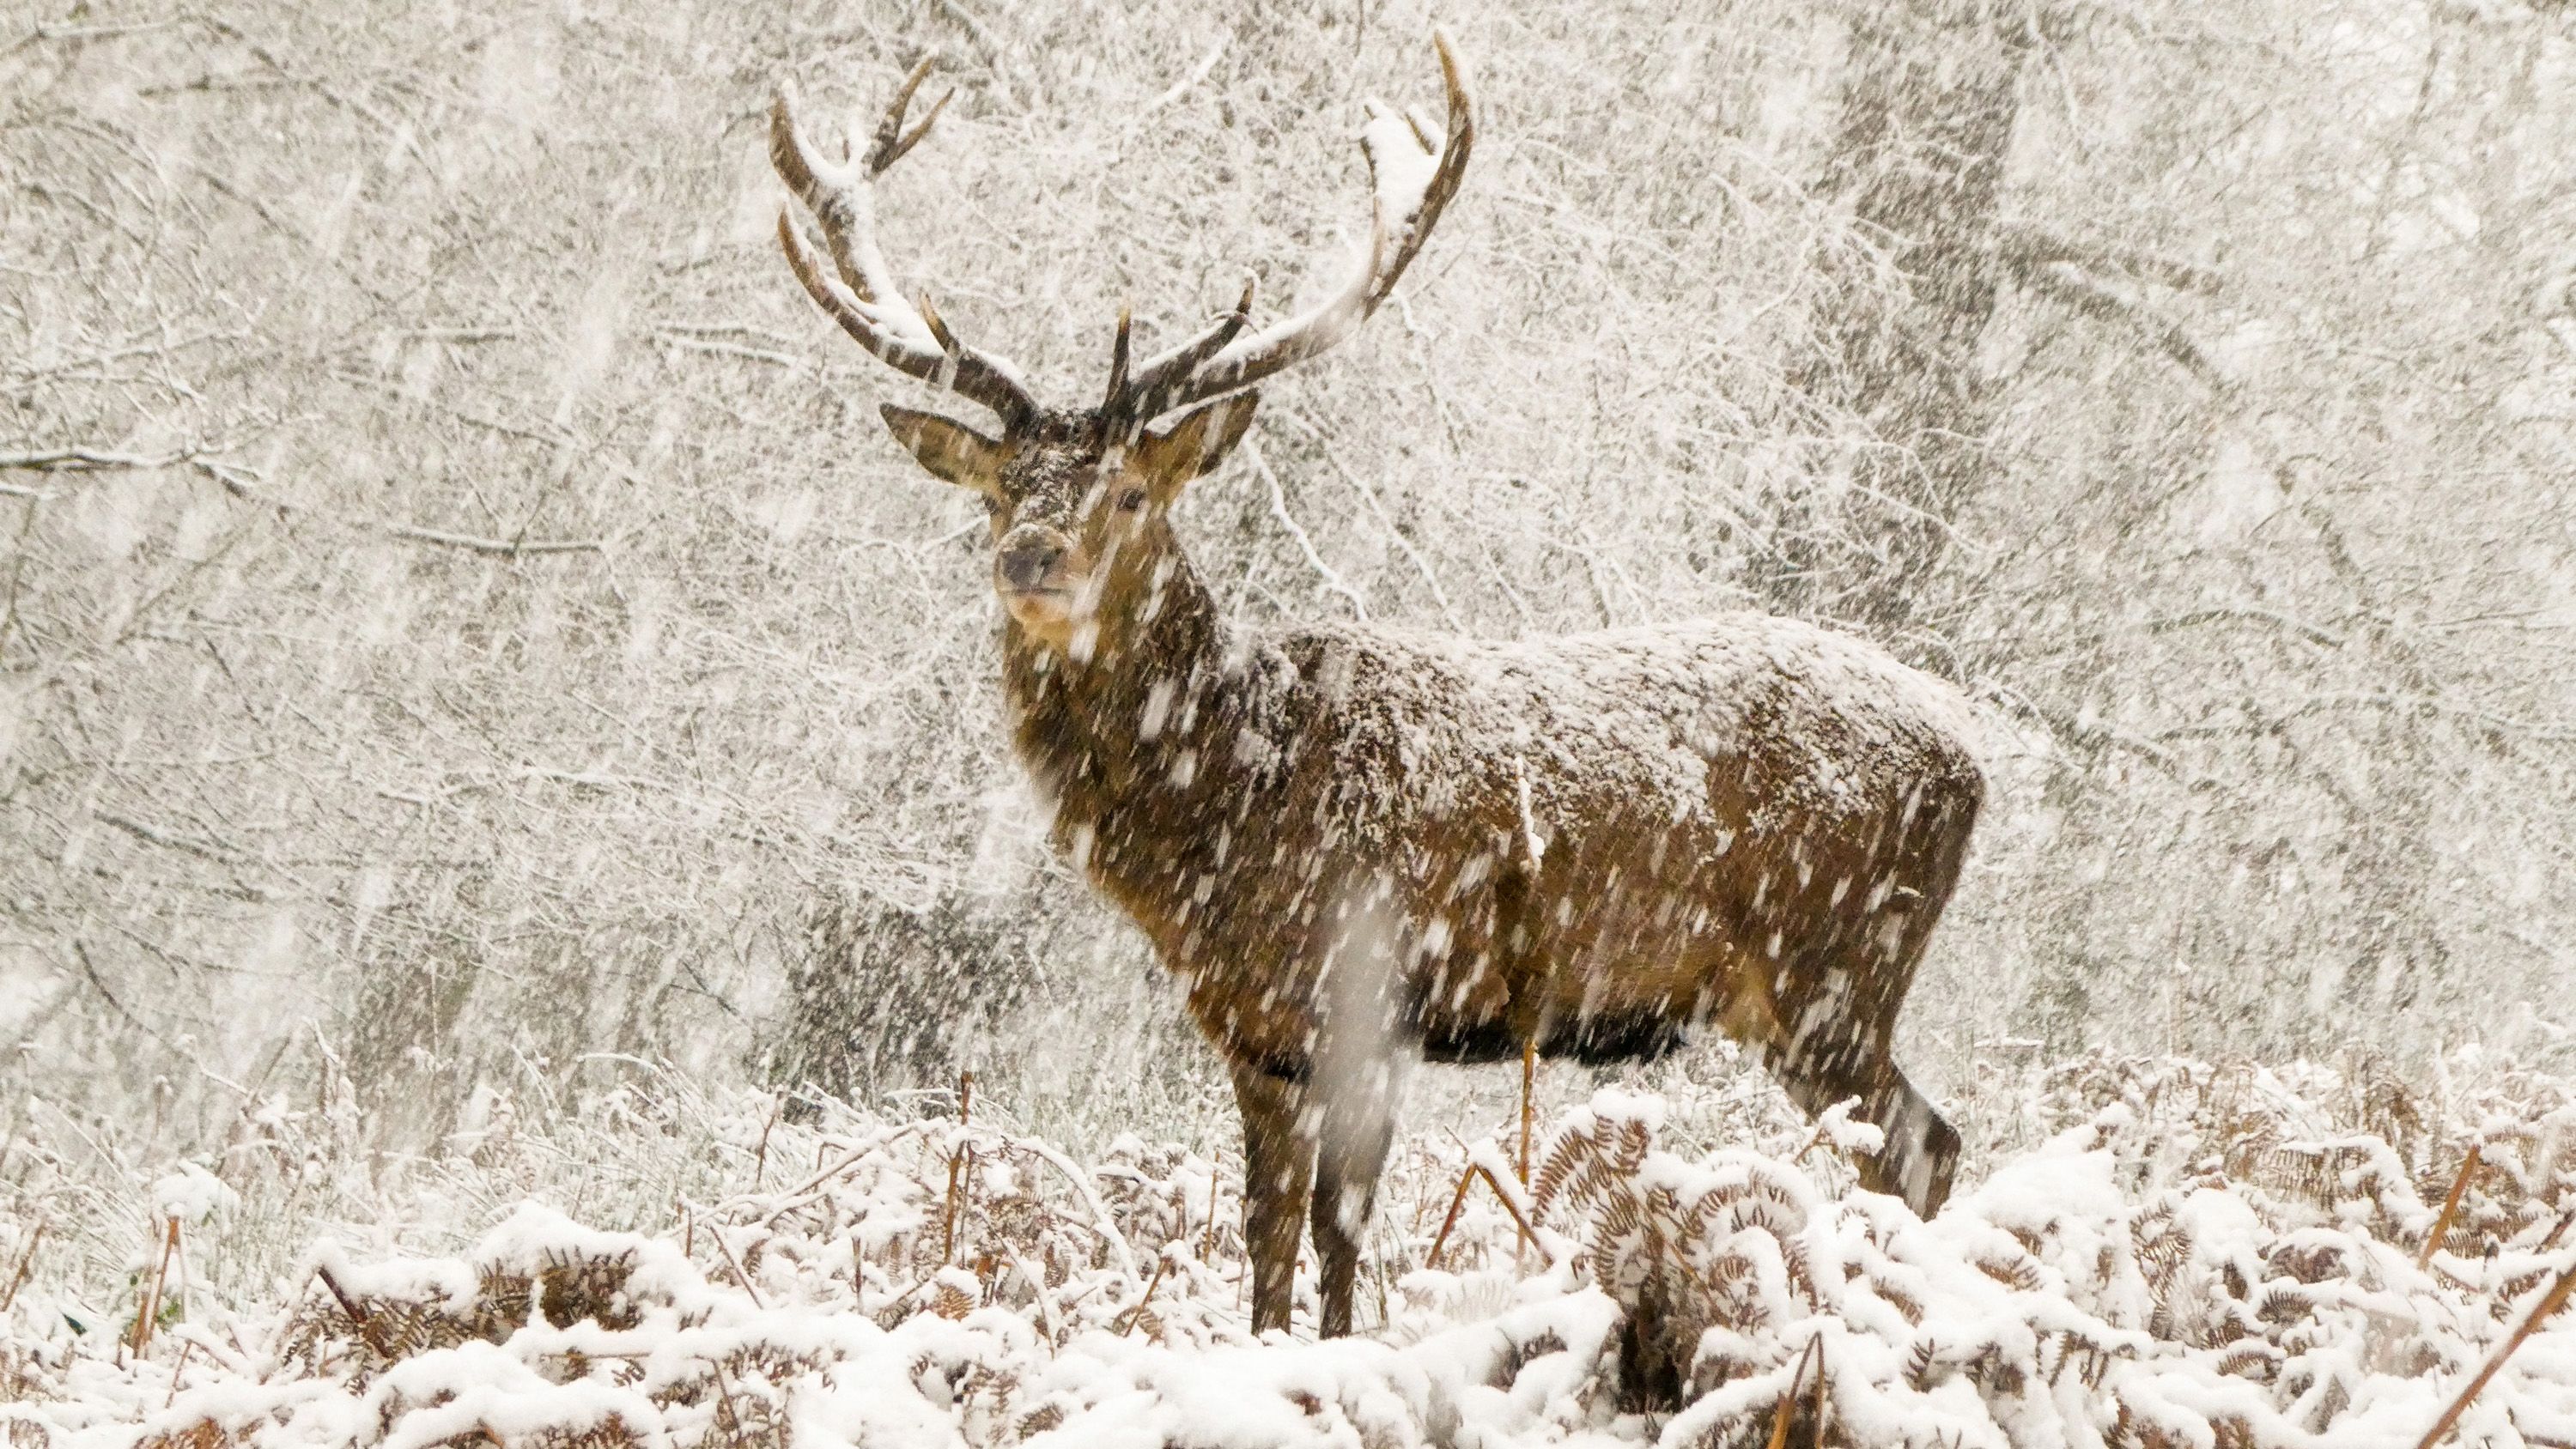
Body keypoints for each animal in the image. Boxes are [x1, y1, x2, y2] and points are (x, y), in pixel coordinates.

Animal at [752, 33, 1978, 1349]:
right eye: (996, 489)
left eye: (1132, 491)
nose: (1030, 556)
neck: (1226, 814)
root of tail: (1974, 757)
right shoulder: (1257, 1032)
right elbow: (1266, 1231)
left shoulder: (1371, 992)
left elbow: (1343, 1229)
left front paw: (1338, 1361)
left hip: (1835, 965)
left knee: (1917, 1141)